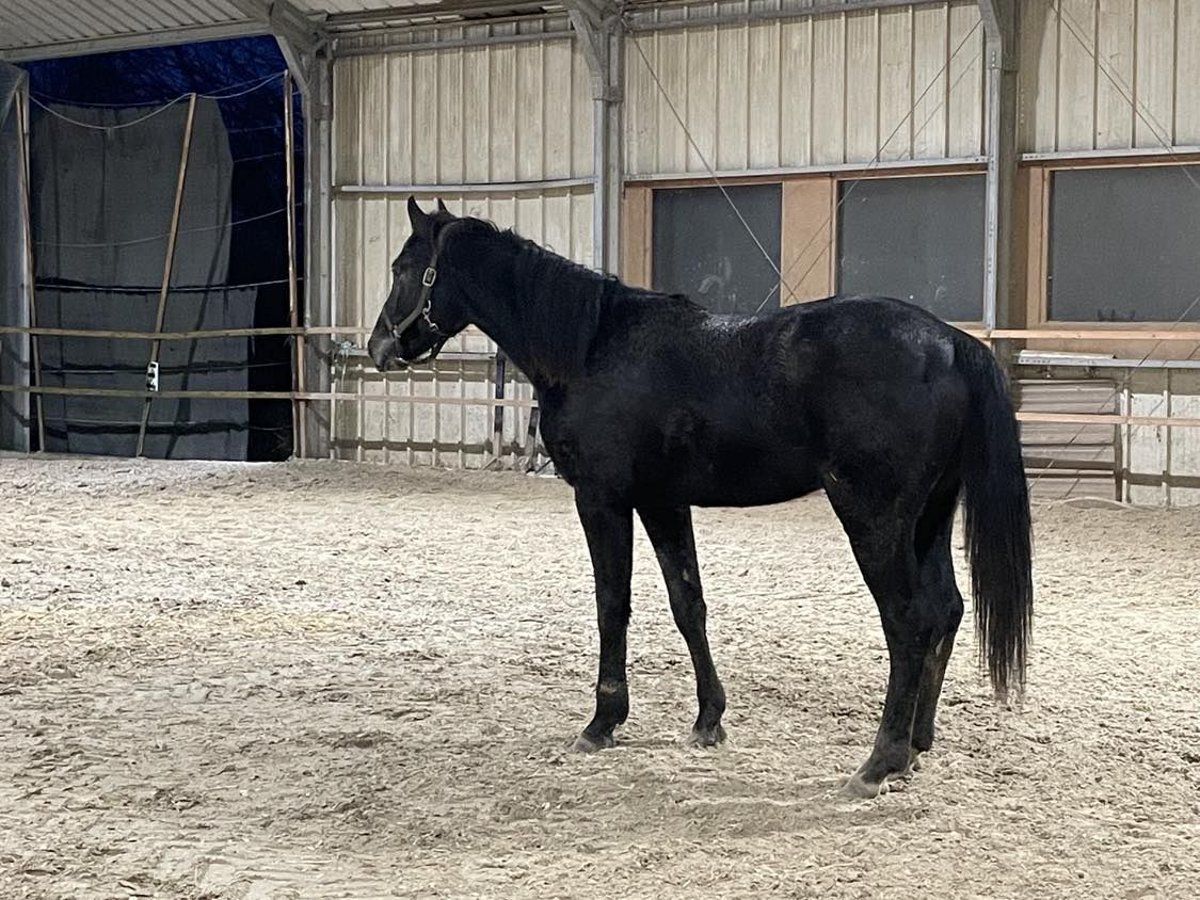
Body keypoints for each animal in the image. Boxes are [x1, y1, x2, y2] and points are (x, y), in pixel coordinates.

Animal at [367, 200, 1032, 801]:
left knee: (908, 621)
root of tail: (950, 343)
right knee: (945, 609)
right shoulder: (663, 502)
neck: (592, 348)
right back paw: (916, 747)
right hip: (928, 519)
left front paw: (602, 722)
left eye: (405, 268)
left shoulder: (603, 499)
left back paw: (879, 762)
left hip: (874, 520)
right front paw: (709, 719)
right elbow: (688, 604)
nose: (378, 347)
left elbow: (612, 606)